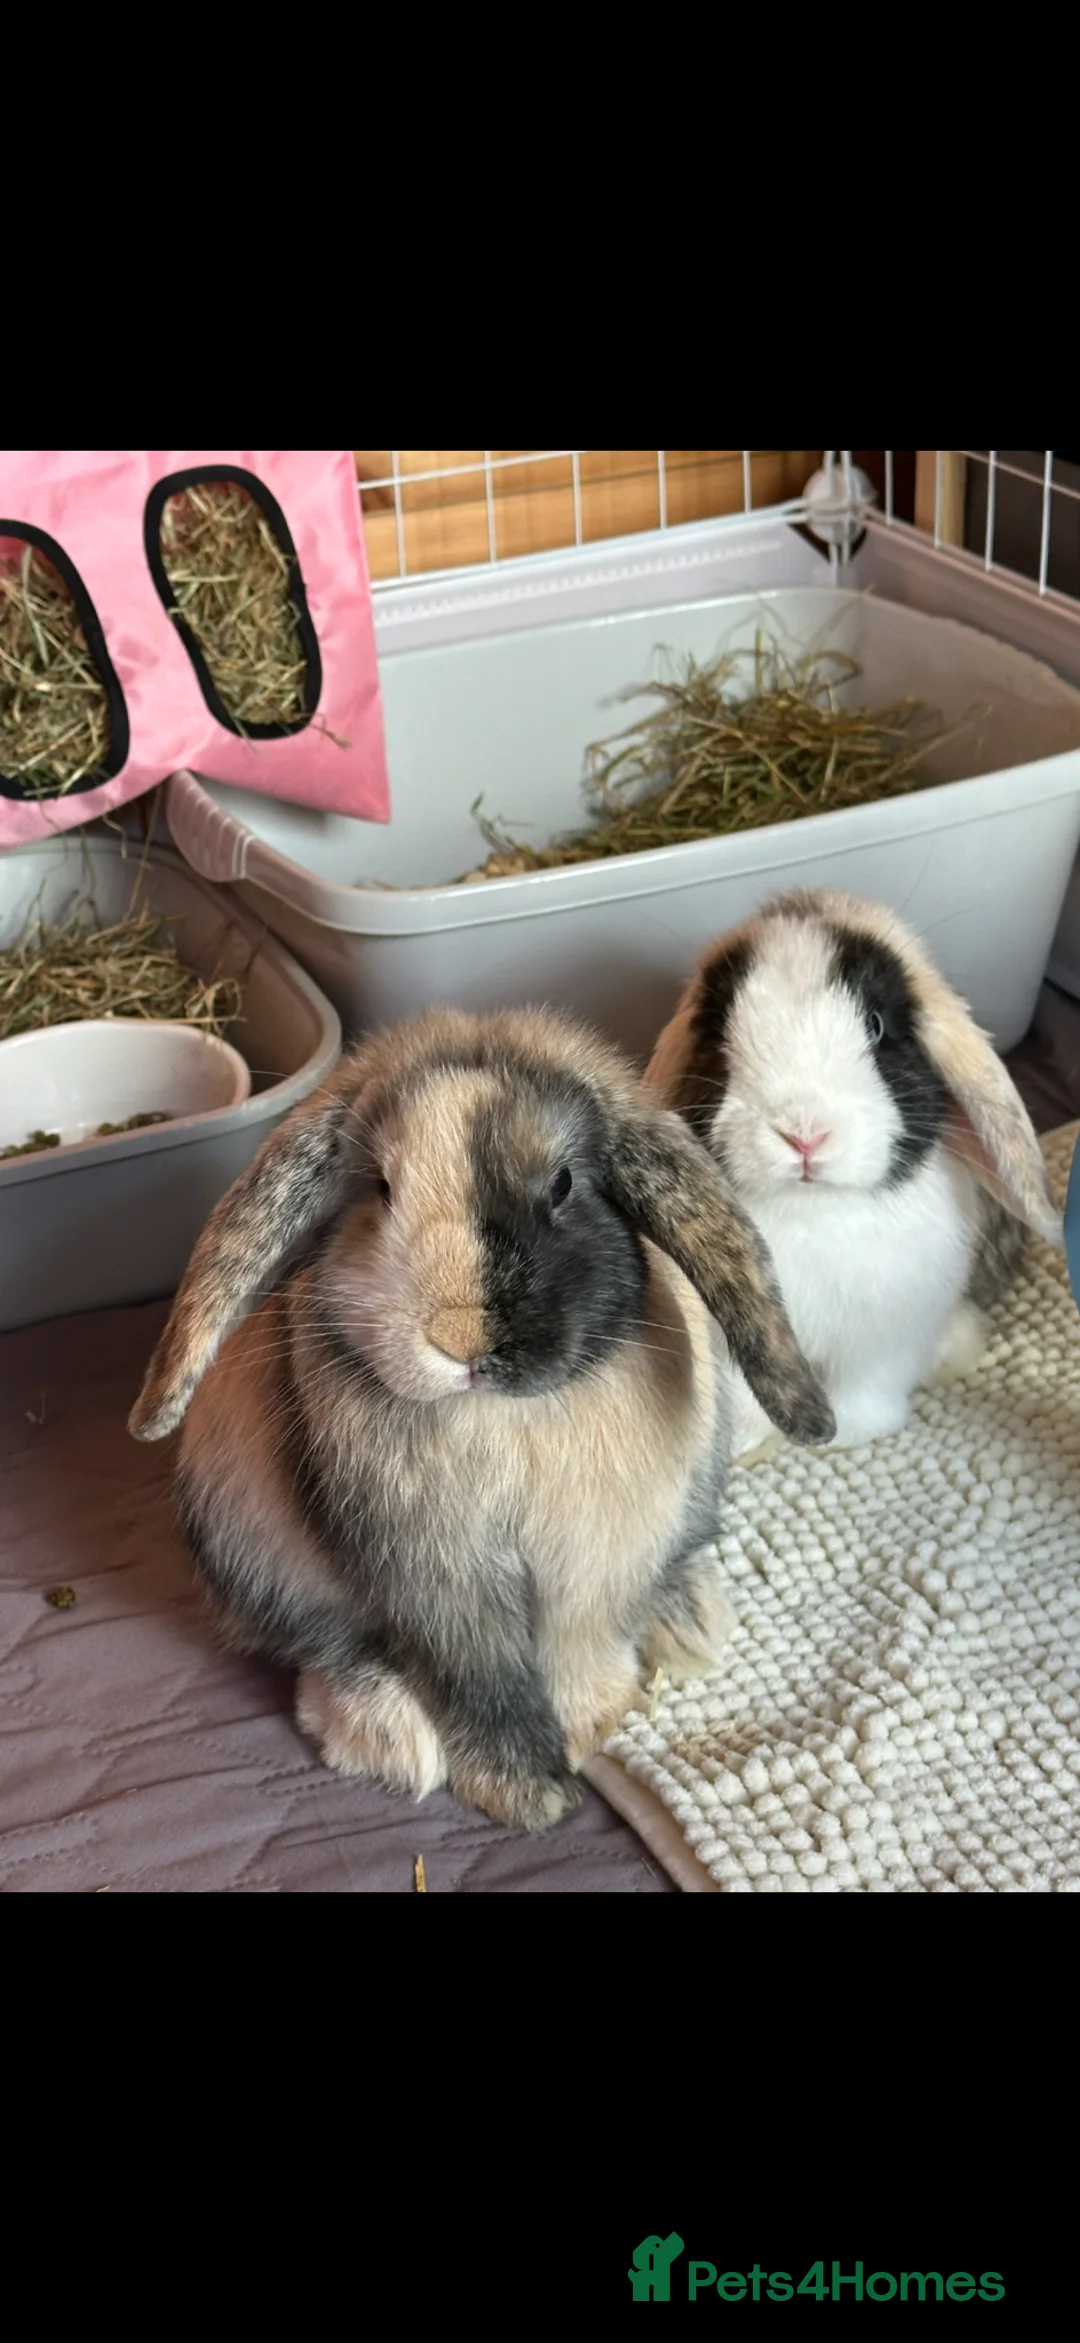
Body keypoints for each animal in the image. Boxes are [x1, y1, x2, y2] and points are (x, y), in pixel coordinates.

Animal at [129, 1004, 835, 1831]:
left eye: (563, 1183)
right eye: (380, 1186)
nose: (460, 1338)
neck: (498, 1418)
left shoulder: (593, 1564)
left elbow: (580, 1648)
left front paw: (588, 1729)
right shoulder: (439, 1583)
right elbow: (481, 1677)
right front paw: (527, 1794)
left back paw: (688, 1621)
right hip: (247, 1538)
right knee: (328, 1645)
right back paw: (388, 1738)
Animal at [644, 887, 1063, 1463]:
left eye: (877, 1025)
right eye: (719, 1029)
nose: (804, 1134)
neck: (814, 1207)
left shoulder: (888, 1339)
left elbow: (869, 1386)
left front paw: (849, 1437)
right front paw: (745, 1443)